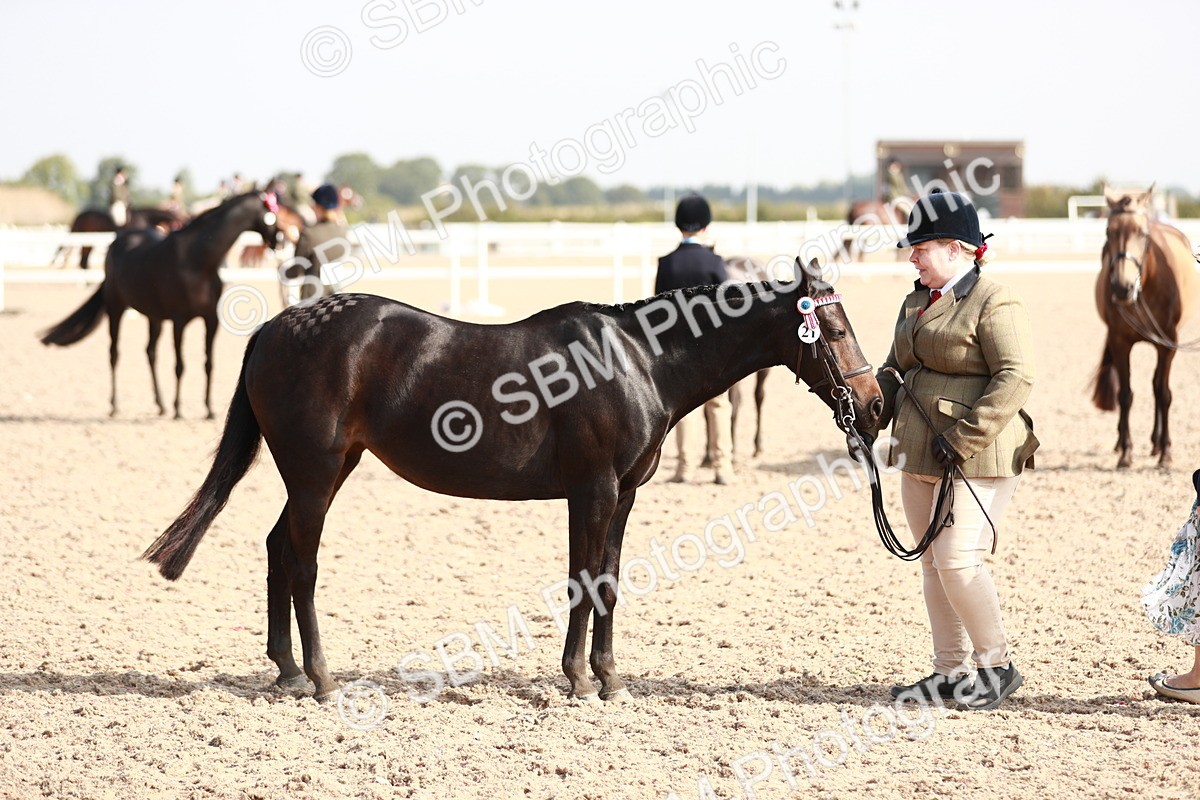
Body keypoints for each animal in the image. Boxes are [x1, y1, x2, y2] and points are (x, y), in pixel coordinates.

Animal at [39, 193, 283, 419]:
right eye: (271, 213)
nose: (279, 240)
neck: (197, 260)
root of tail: (119, 240)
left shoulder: (210, 320)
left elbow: (208, 363)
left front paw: (208, 409)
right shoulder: (179, 321)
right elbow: (180, 365)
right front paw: (178, 409)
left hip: (153, 317)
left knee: (150, 352)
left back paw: (160, 404)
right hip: (116, 309)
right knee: (114, 354)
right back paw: (116, 405)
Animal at [140, 259, 885, 703]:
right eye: (832, 328)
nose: (875, 405)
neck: (640, 358)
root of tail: (278, 324)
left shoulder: (624, 495)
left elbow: (610, 578)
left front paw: (609, 678)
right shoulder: (593, 490)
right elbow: (583, 578)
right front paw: (579, 679)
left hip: (324, 470)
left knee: (276, 548)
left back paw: (288, 671)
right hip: (316, 472)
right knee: (300, 561)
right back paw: (321, 678)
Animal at [1091, 185, 1198, 468]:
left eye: (1142, 233)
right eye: (1109, 231)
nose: (1122, 287)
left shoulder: (1168, 344)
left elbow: (1164, 394)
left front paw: (1166, 452)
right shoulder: (1119, 342)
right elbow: (1125, 394)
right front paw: (1126, 452)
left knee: (1157, 387)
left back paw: (1157, 443)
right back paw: (1123, 443)